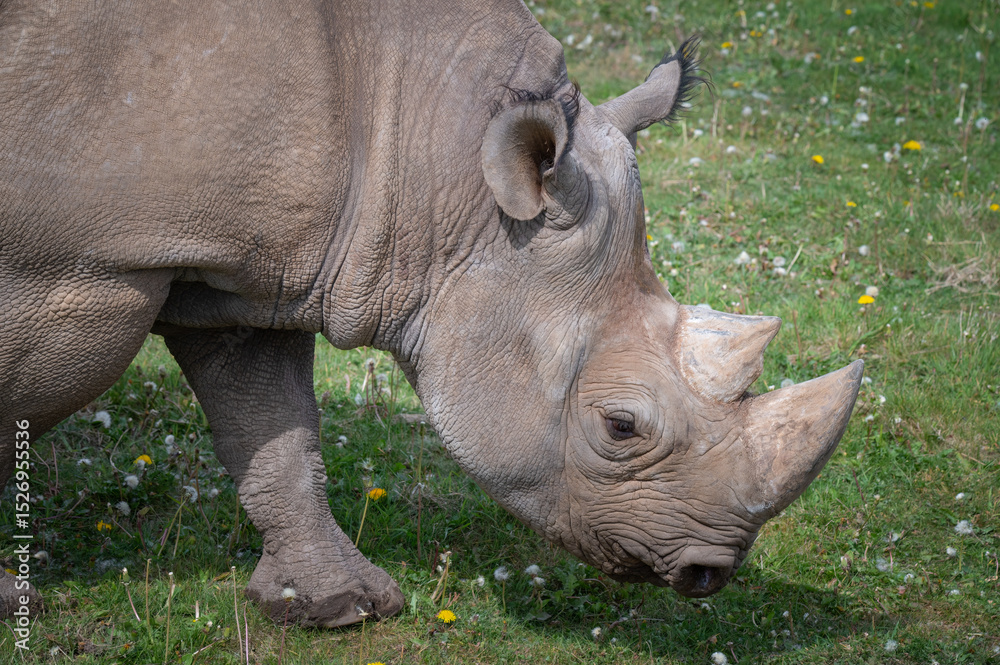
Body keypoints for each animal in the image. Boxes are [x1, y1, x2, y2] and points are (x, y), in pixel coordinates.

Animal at [0, 0, 863, 627]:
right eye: (621, 426)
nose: (710, 573)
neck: (438, 151)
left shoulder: (251, 263)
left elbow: (276, 427)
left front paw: (338, 608)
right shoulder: (88, 264)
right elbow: (30, 399)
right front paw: (14, 603)